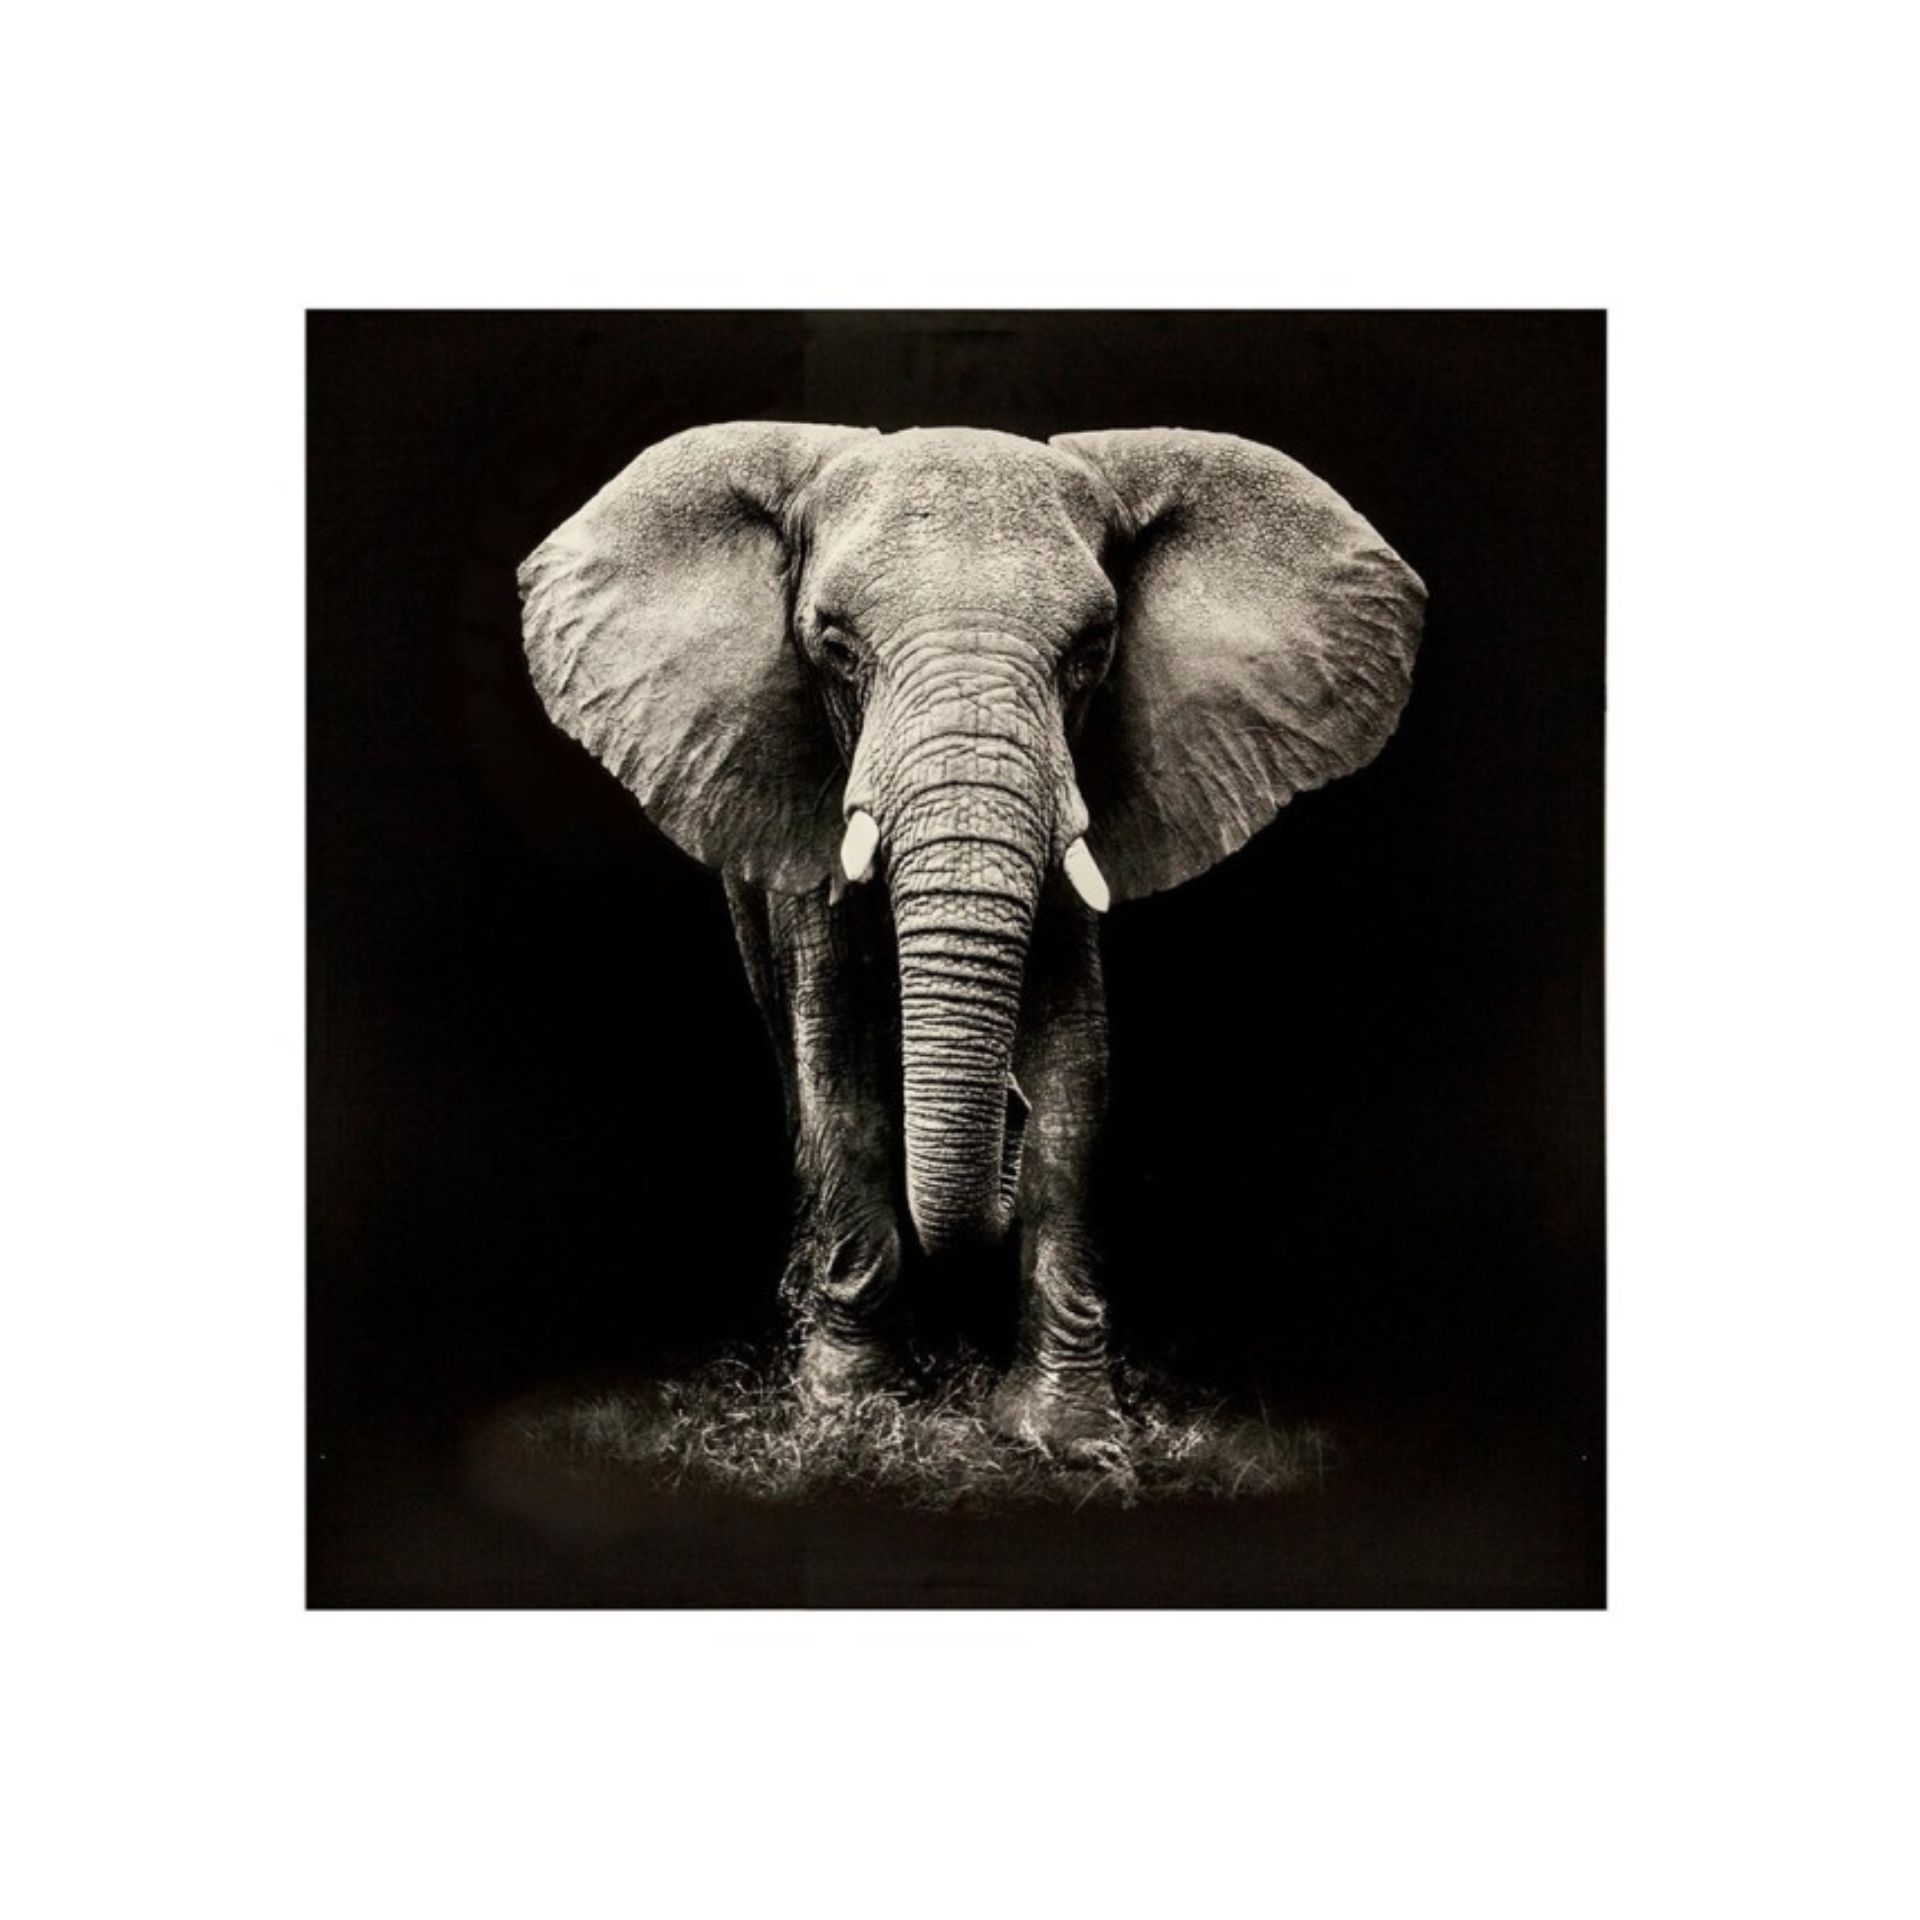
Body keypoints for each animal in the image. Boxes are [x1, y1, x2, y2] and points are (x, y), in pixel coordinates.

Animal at [518, 422, 1425, 1455]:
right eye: (835, 647)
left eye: (1092, 652)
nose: (1006, 1113)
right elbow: (839, 1065)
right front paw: (849, 1413)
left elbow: (1077, 1070)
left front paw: (1066, 1436)